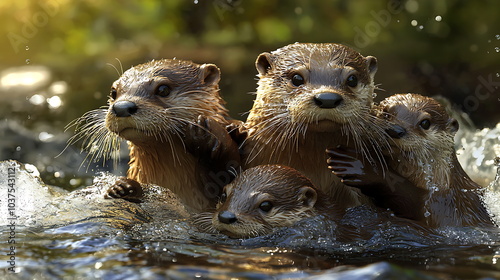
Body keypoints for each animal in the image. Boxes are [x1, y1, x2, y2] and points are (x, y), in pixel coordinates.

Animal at [326, 94, 494, 228]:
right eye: (386, 114)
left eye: (425, 123)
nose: (395, 130)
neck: (442, 182)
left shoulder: (445, 204)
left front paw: (361, 167)